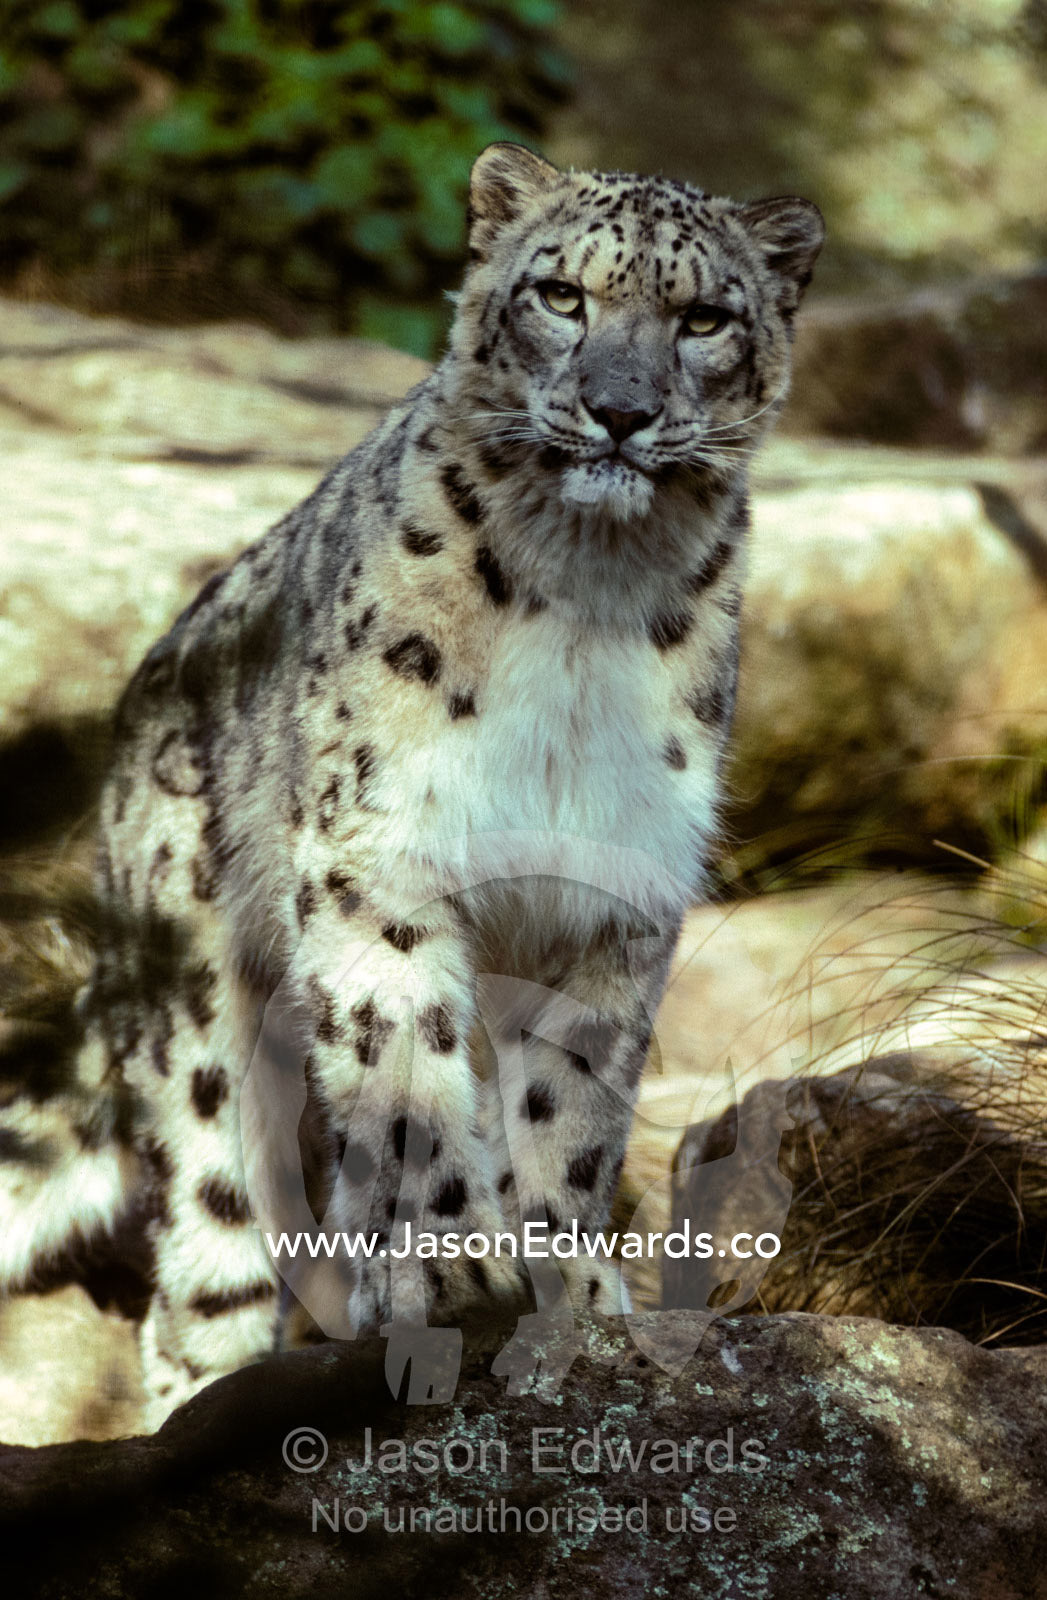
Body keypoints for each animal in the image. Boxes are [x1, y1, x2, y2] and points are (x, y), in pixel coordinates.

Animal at [0, 142, 823, 1427]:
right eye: (563, 295)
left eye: (703, 318)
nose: (620, 411)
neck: (591, 593)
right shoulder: (380, 857)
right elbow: (403, 1076)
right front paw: (458, 1267)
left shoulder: (614, 891)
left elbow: (571, 1114)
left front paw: (577, 1298)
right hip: (199, 1011)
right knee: (210, 1243)